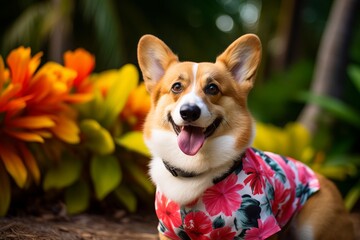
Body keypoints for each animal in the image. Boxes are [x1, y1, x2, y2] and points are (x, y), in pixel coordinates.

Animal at [138, 34, 354, 240]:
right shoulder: (168, 231)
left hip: (312, 226)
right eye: (176, 87)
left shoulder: (259, 227)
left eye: (212, 88)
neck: (192, 170)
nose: (189, 112)